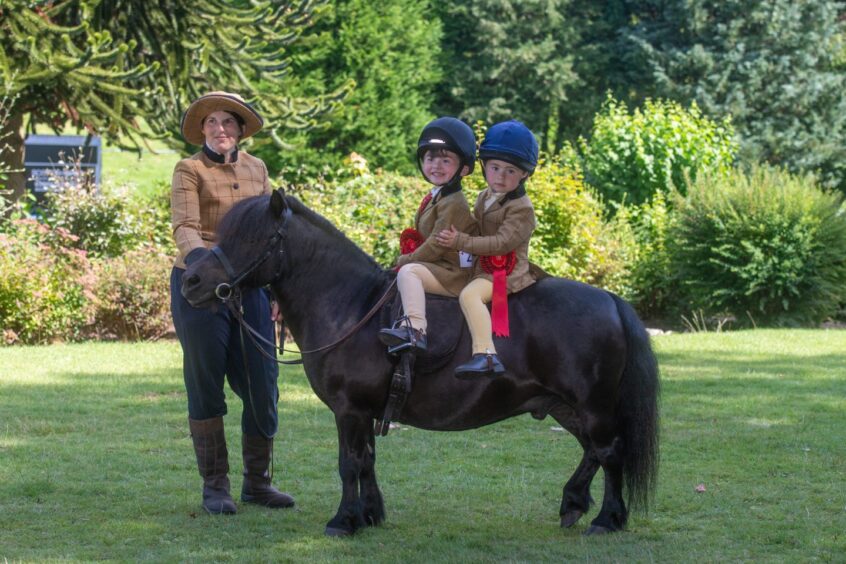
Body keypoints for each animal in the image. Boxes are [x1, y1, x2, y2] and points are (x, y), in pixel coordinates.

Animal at [184, 191, 664, 536]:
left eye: (251, 239)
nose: (191, 281)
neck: (352, 305)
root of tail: (611, 300)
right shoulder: (365, 411)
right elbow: (367, 459)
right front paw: (370, 514)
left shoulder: (349, 409)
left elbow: (349, 463)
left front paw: (344, 521)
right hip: (565, 406)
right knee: (593, 451)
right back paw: (573, 504)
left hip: (593, 406)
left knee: (610, 451)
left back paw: (607, 519)